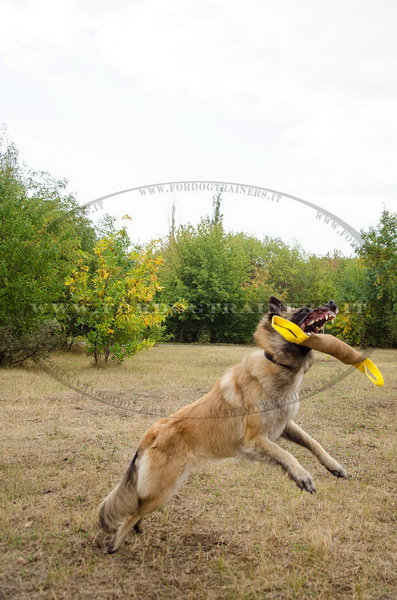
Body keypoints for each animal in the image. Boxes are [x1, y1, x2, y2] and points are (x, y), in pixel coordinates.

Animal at [99, 296, 346, 552]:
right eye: (304, 310)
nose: (332, 303)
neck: (277, 363)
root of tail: (153, 431)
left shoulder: (283, 425)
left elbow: (313, 443)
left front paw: (333, 466)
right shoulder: (254, 439)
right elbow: (287, 454)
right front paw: (302, 476)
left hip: (165, 488)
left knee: (138, 509)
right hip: (163, 489)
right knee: (132, 512)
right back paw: (115, 544)